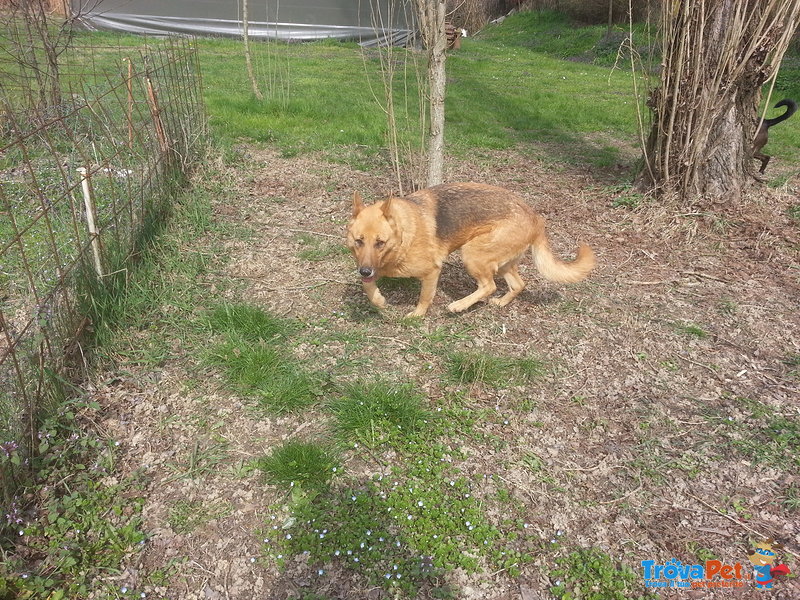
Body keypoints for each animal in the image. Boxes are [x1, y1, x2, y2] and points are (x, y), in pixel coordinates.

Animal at [346, 183, 596, 318]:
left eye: (380, 242)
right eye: (359, 241)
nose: (365, 271)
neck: (404, 234)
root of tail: (536, 218)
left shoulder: (431, 272)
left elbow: (425, 298)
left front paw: (417, 315)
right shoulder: (369, 267)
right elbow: (367, 287)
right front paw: (378, 300)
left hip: (471, 254)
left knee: (489, 286)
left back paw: (459, 305)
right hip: (501, 263)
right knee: (518, 284)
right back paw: (501, 302)